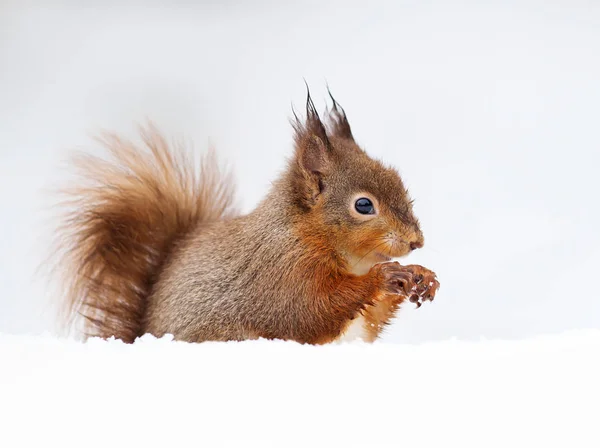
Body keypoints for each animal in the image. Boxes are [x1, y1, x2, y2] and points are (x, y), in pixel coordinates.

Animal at [49, 89, 438, 344]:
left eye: (398, 181)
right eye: (363, 206)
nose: (416, 242)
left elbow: (369, 320)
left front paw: (421, 276)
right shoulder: (283, 271)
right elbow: (310, 312)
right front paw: (385, 276)